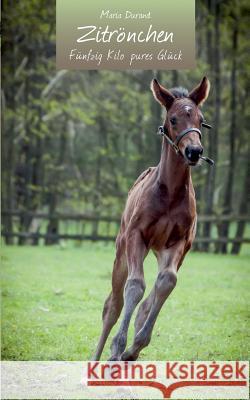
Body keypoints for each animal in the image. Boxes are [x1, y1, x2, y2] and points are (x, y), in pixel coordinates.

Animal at [93, 76, 211, 360]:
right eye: (173, 119)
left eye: (201, 119)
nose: (194, 151)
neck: (169, 193)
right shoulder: (137, 237)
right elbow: (135, 286)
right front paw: (117, 348)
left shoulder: (179, 244)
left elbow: (166, 283)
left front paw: (133, 349)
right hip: (121, 251)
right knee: (113, 305)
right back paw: (97, 359)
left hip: (161, 251)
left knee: (149, 299)